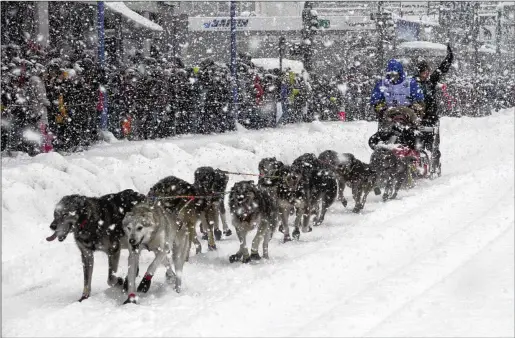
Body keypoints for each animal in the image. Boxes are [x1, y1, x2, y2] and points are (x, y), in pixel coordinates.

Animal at [122, 176, 201, 304]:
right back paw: (170, 276)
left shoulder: (163, 249)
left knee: (178, 274)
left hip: (177, 255)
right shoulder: (134, 253)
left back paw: (177, 290)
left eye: (140, 227)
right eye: (129, 228)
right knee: (167, 265)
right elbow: (131, 276)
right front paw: (131, 298)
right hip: (160, 252)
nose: (132, 241)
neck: (148, 239)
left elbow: (151, 266)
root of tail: (178, 219)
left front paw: (145, 283)